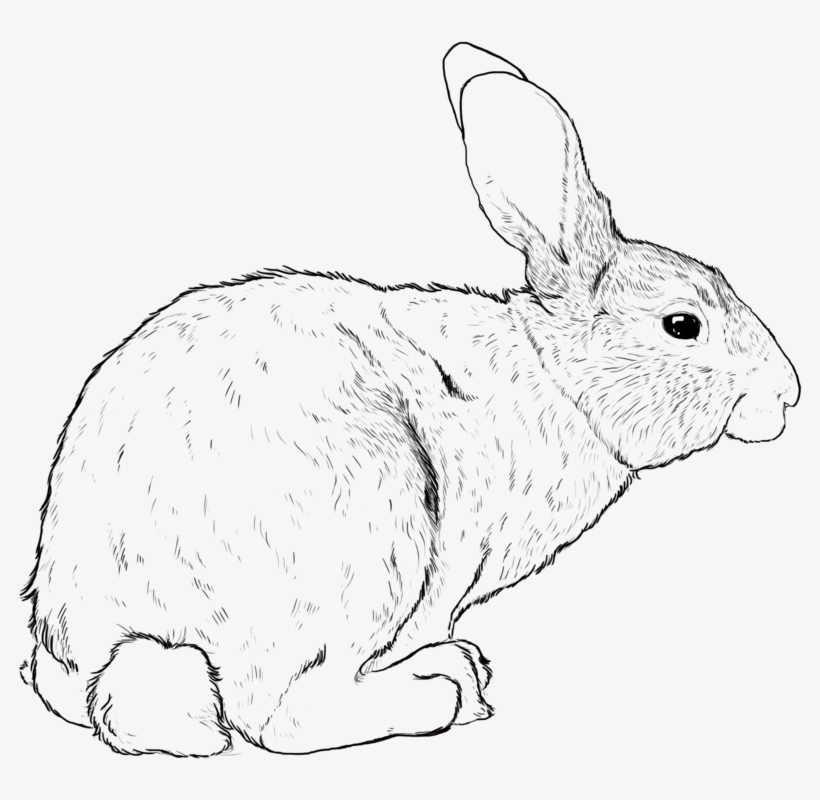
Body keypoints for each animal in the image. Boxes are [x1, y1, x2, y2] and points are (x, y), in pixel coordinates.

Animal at [21, 42, 799, 757]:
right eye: (682, 325)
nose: (788, 393)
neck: (552, 375)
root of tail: (92, 632)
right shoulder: (446, 566)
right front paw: (449, 675)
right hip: (373, 528)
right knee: (276, 717)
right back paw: (436, 695)